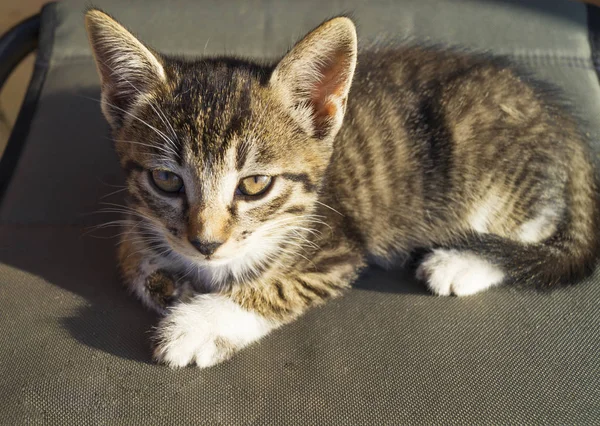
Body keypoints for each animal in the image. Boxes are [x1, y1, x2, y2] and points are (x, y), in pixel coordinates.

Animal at [84, 8, 600, 368]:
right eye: (167, 179)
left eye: (254, 184)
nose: (206, 243)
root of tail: (566, 125)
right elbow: (129, 252)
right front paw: (167, 281)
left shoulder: (337, 250)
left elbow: (274, 287)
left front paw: (197, 325)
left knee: (530, 234)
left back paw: (460, 264)